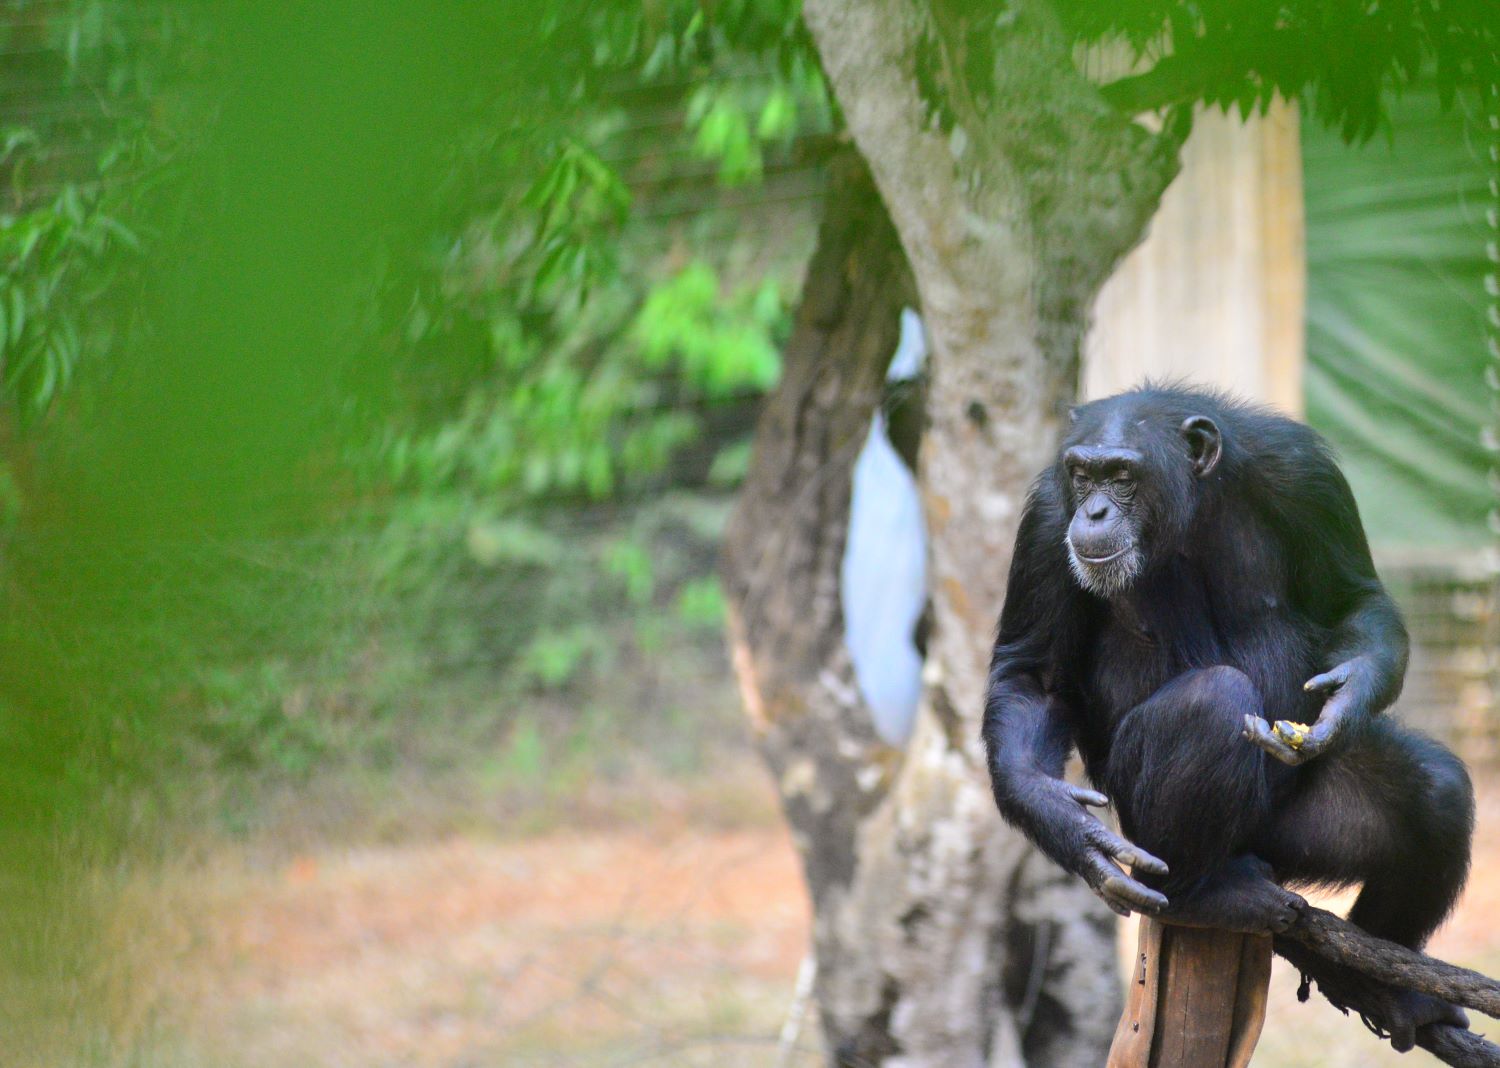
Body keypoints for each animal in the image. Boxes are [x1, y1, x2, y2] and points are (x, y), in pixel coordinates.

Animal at [984, 387, 1476, 1050]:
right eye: (1082, 474)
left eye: (1122, 476)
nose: (1092, 511)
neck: (1190, 506)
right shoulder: (1044, 519)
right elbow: (1032, 675)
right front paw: (1066, 822)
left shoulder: (1308, 477)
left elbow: (1352, 596)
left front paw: (1344, 700)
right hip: (1146, 830)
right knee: (1210, 701)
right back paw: (1203, 897)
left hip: (1293, 829)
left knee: (1435, 792)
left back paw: (1382, 988)